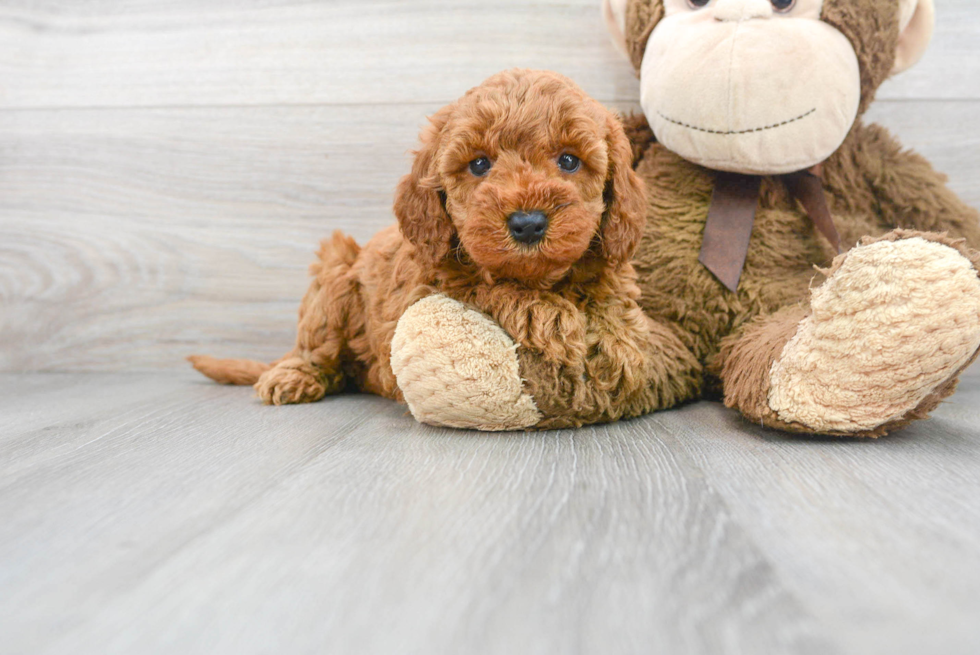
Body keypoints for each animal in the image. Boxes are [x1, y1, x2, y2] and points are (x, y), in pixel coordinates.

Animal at [189, 69, 696, 430]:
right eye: (479, 165)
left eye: (569, 160)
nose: (528, 223)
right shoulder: (430, 282)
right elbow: (490, 287)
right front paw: (550, 316)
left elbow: (614, 301)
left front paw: (618, 340)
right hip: (333, 277)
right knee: (316, 350)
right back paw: (295, 375)